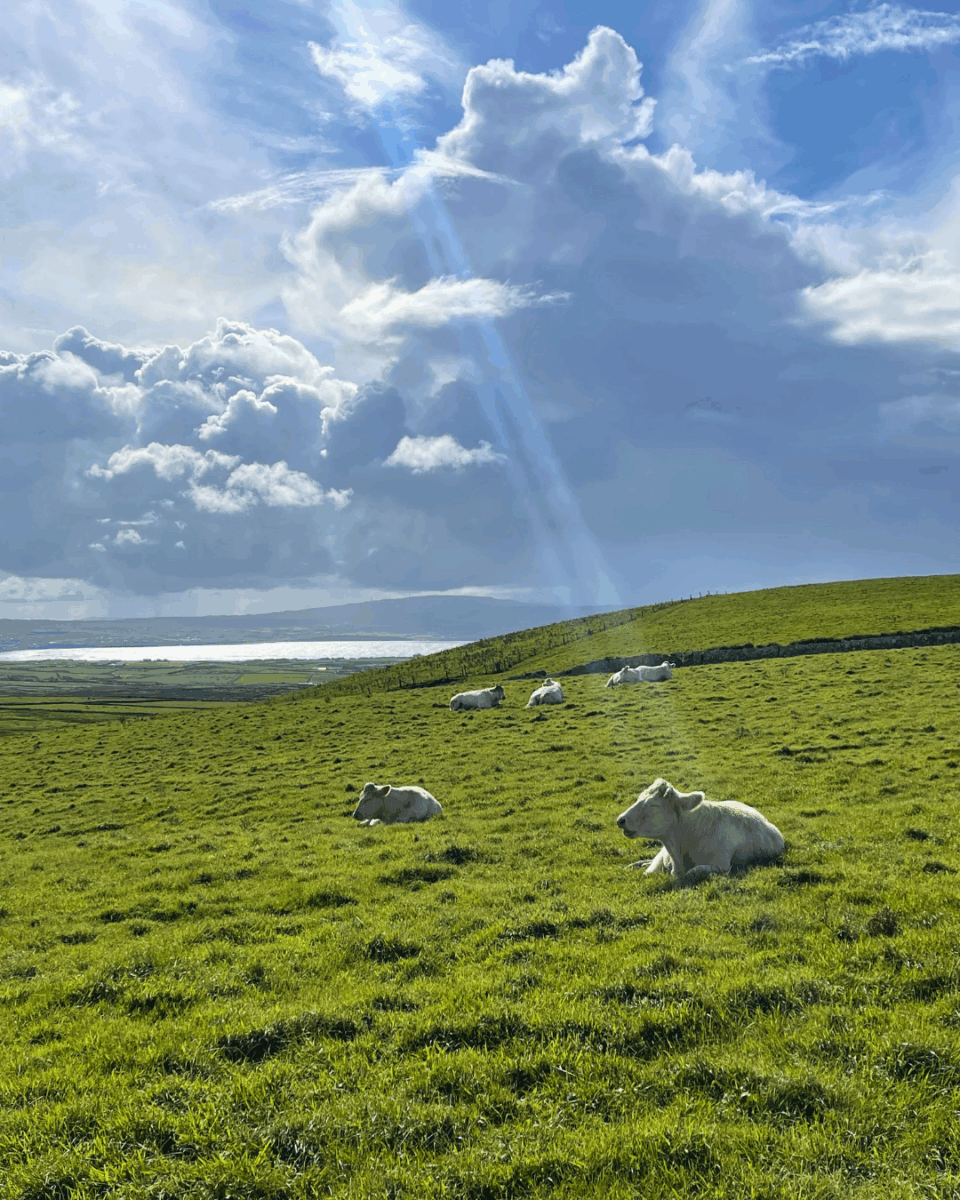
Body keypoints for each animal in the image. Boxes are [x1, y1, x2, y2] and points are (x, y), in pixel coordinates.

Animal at [616, 777, 784, 883]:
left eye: (653, 805)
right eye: (638, 798)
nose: (620, 820)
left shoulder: (721, 866)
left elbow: (692, 873)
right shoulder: (663, 856)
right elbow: (648, 873)